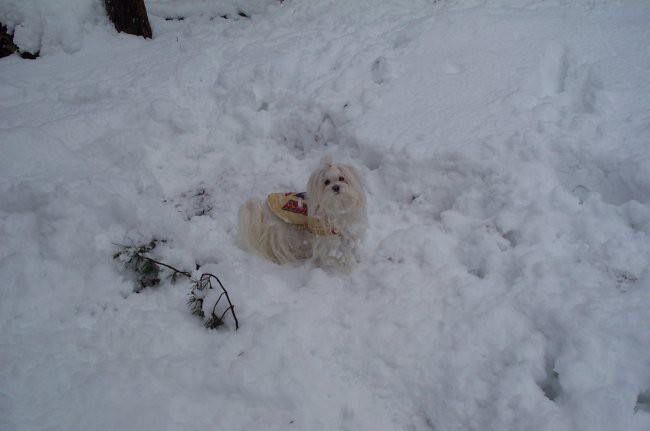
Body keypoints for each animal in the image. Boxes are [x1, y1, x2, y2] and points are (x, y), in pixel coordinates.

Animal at [238, 157, 368, 272]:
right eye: (326, 182)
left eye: (342, 178)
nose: (336, 187)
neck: (337, 205)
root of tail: (265, 208)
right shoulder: (323, 236)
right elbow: (327, 254)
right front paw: (341, 264)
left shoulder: (343, 231)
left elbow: (345, 246)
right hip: (280, 233)